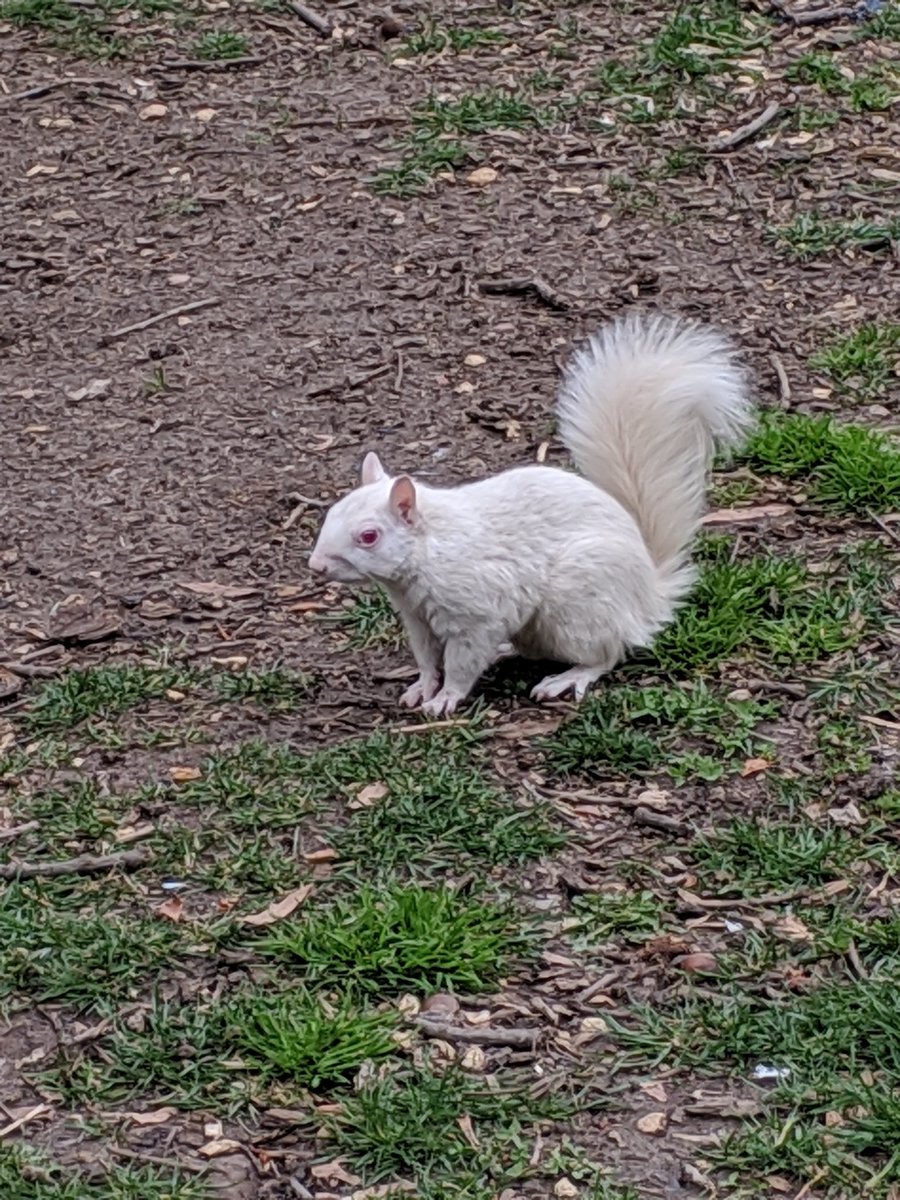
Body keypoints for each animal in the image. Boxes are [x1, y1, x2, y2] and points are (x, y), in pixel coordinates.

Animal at [308, 312, 754, 717]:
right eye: (331, 514)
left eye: (369, 536)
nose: (316, 566)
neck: (430, 553)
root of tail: (649, 594)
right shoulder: (418, 620)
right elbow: (427, 659)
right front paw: (422, 686)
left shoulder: (478, 612)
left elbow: (461, 662)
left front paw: (446, 698)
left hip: (578, 605)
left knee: (608, 653)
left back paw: (567, 678)